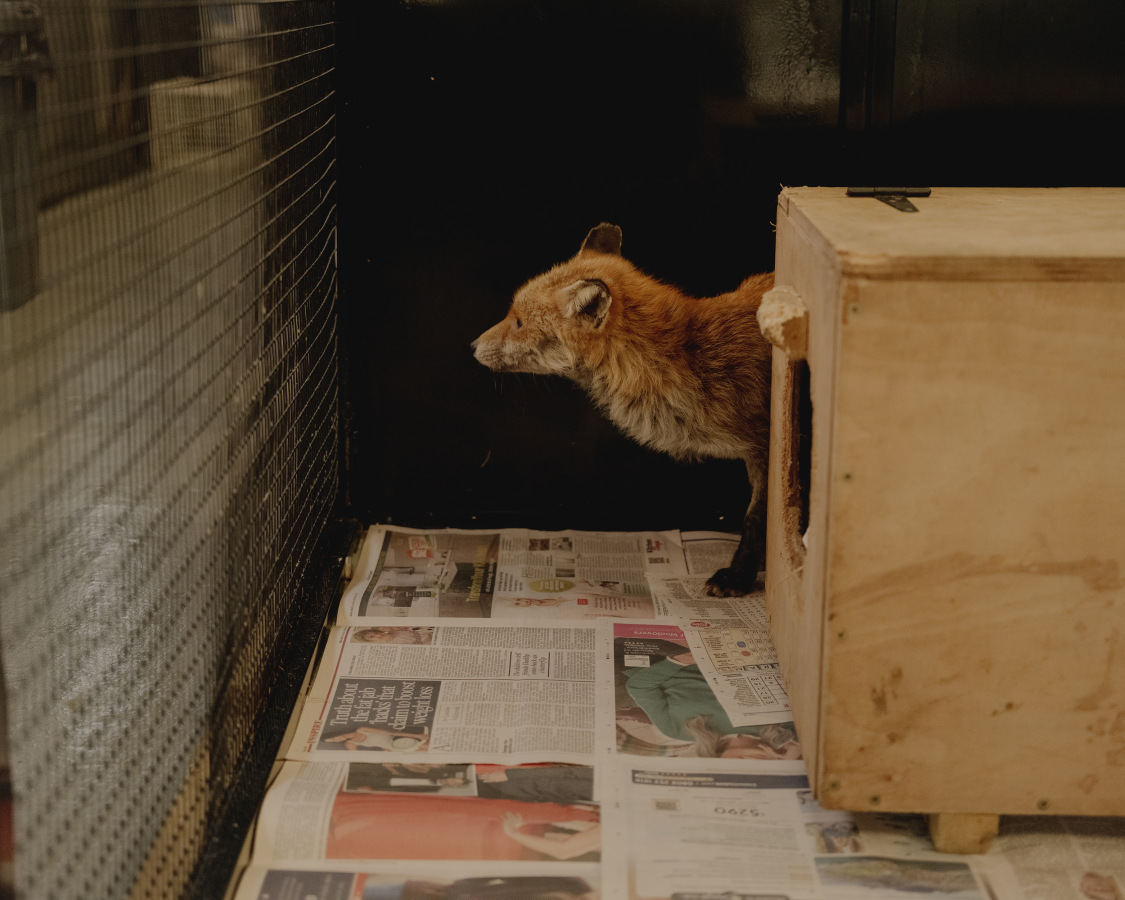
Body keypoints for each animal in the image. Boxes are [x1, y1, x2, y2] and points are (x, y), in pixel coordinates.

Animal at [472, 223, 773, 597]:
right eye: (512, 316)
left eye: (518, 323)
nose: (472, 346)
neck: (696, 360)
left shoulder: (770, 450)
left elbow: (755, 520)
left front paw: (739, 577)